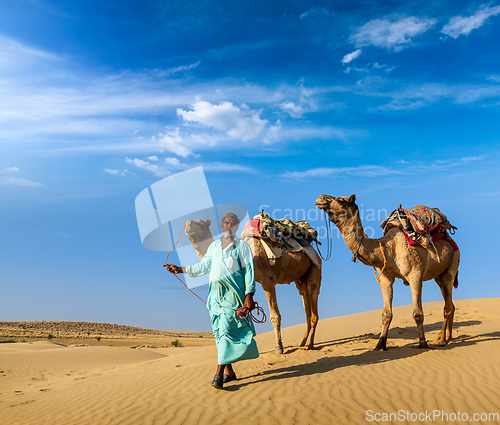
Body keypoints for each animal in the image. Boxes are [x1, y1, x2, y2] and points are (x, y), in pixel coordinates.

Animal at [184, 217, 320, 352]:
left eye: (201, 225)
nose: (187, 224)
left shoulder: (267, 280)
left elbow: (275, 316)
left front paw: (279, 347)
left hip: (315, 267)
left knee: (313, 298)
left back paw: (310, 345)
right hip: (300, 278)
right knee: (305, 301)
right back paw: (302, 343)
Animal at [314, 194, 458, 350]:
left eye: (341, 200)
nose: (320, 199)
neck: (388, 249)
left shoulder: (415, 275)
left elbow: (418, 313)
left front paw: (423, 343)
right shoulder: (385, 278)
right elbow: (386, 314)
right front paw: (380, 344)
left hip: (453, 265)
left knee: (447, 304)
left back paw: (442, 339)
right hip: (439, 277)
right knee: (449, 303)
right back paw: (447, 336)